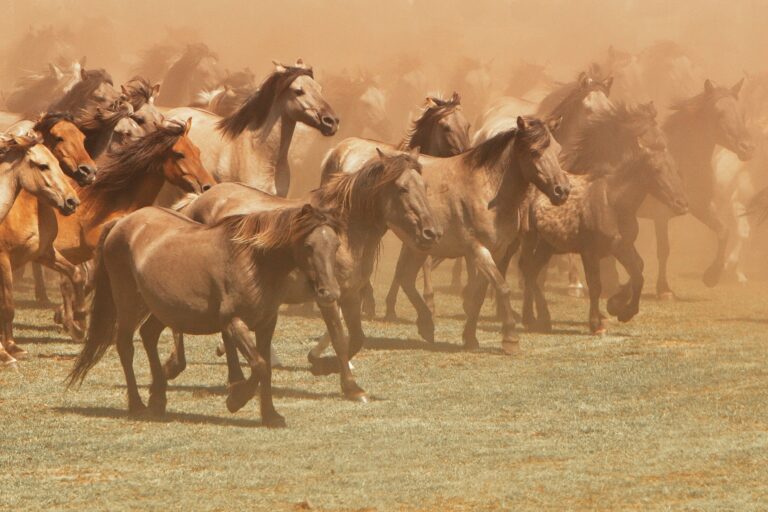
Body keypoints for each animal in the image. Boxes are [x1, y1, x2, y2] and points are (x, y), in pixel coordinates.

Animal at [0, 132, 80, 364]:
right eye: (43, 165)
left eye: (58, 163)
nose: (72, 201)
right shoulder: (3, 261)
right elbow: (7, 307)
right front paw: (6, 354)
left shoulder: (44, 252)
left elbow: (76, 273)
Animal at [66, 204, 342, 428]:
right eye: (308, 246)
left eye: (336, 245)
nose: (330, 293)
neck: (253, 261)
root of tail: (121, 222)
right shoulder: (233, 323)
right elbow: (260, 365)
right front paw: (236, 399)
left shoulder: (266, 324)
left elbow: (265, 368)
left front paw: (270, 415)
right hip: (129, 303)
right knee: (125, 346)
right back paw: (138, 405)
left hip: (161, 307)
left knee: (149, 336)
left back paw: (158, 397)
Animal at [162, 148, 438, 400]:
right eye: (402, 189)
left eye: (425, 186)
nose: (431, 233)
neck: (343, 231)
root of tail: (196, 202)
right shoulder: (328, 297)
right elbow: (340, 338)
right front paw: (350, 386)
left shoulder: (350, 295)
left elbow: (356, 338)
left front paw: (321, 365)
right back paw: (175, 366)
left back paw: (234, 379)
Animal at [636, 78, 756, 298]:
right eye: (719, 113)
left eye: (742, 113)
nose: (748, 148)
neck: (680, 159)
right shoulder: (661, 215)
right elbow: (663, 249)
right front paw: (664, 290)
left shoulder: (700, 206)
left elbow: (723, 231)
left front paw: (711, 276)